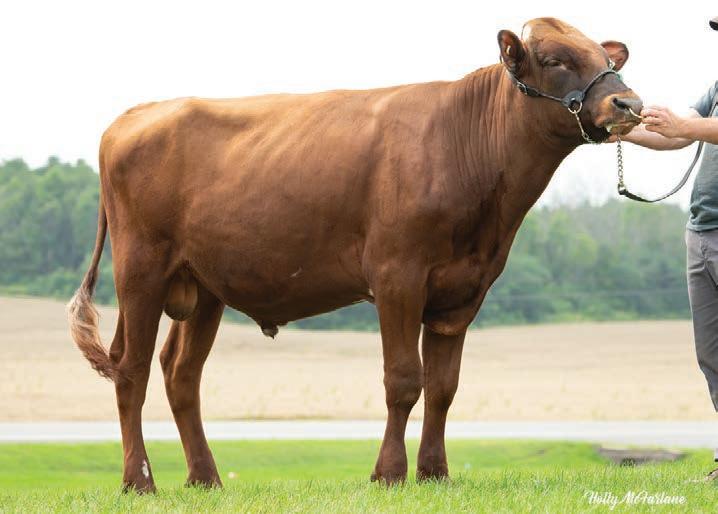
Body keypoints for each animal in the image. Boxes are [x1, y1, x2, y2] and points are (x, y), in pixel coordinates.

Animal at [68, 17, 642, 492]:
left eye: (608, 59)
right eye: (554, 60)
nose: (629, 104)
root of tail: (137, 114)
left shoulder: (464, 291)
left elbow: (444, 387)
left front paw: (435, 473)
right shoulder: (397, 276)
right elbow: (404, 380)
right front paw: (389, 474)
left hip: (205, 285)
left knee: (180, 373)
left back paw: (206, 479)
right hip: (141, 270)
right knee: (131, 369)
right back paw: (139, 482)